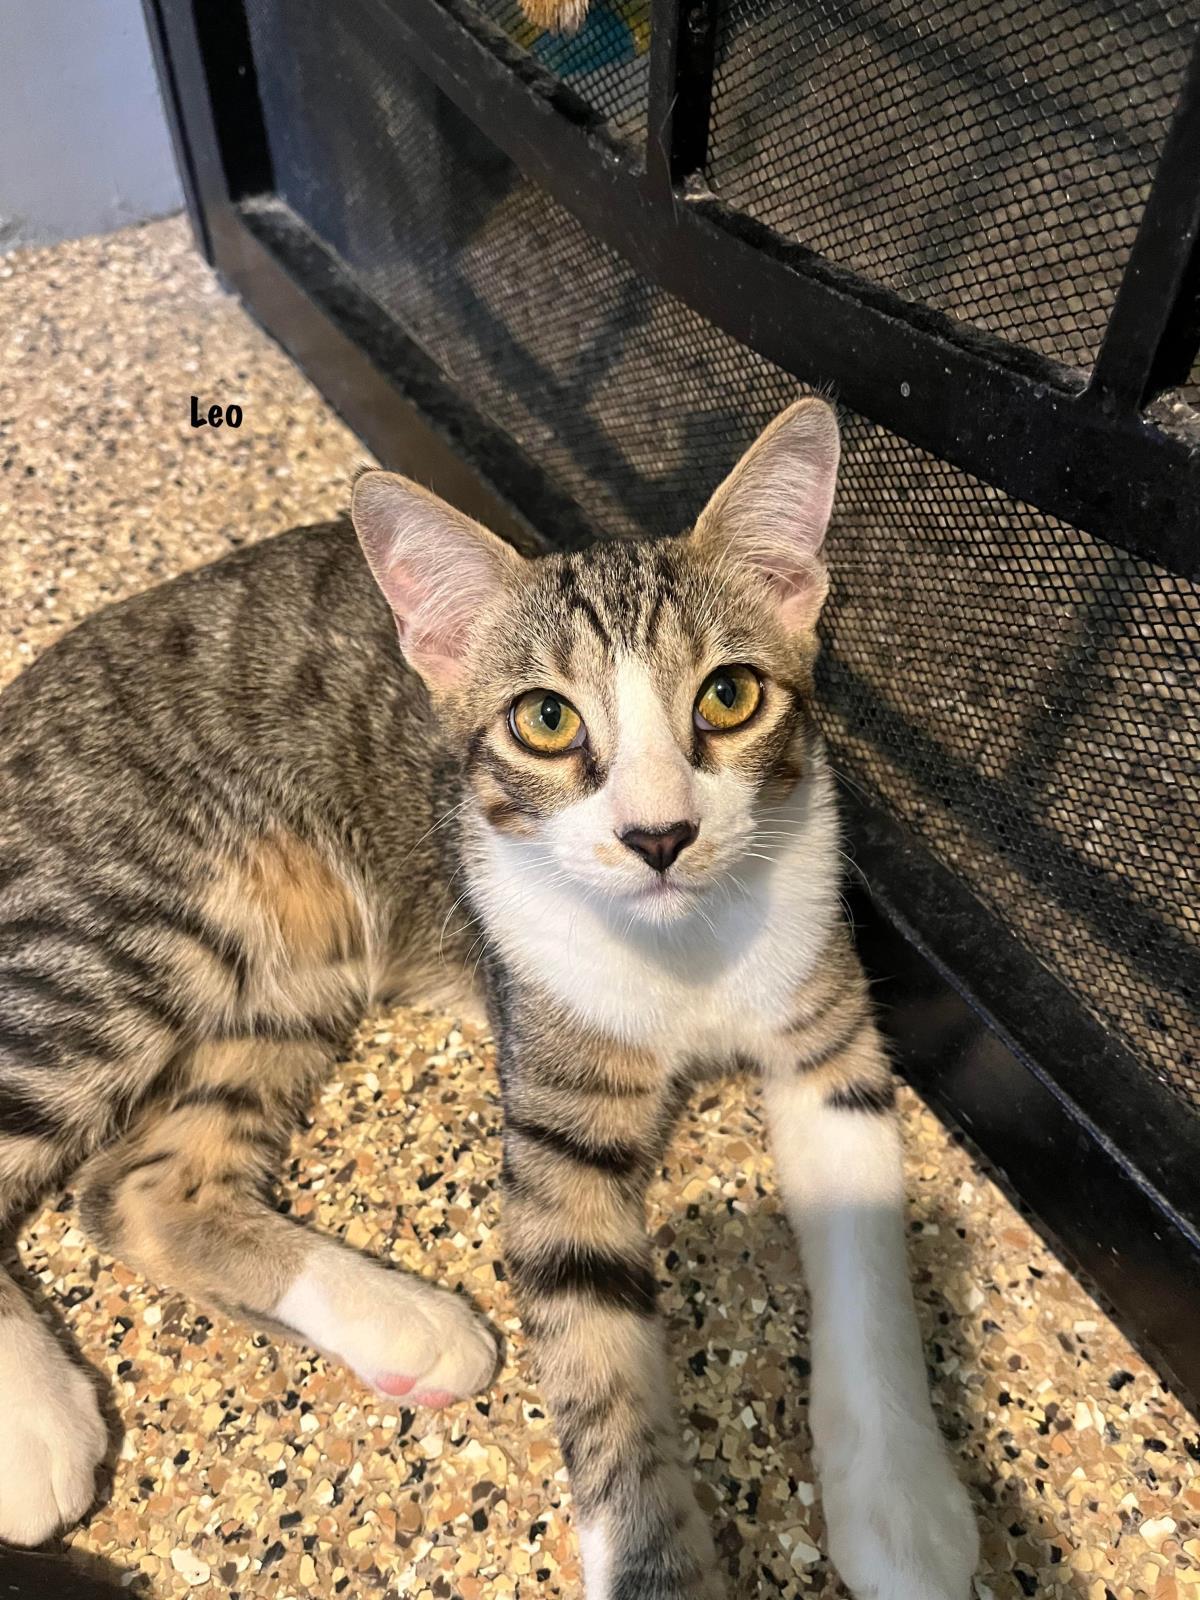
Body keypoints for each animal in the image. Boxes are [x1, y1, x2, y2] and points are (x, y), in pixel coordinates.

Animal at [0, 396, 979, 1587]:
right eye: (544, 720)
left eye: (732, 695)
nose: (659, 834)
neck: (683, 952)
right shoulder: (556, 1108)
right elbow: (598, 1355)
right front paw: (657, 1561)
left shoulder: (828, 1042)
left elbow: (871, 1261)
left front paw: (901, 1505)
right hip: (118, 927)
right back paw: (34, 1420)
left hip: (294, 960)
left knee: (137, 1185)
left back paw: (404, 1327)